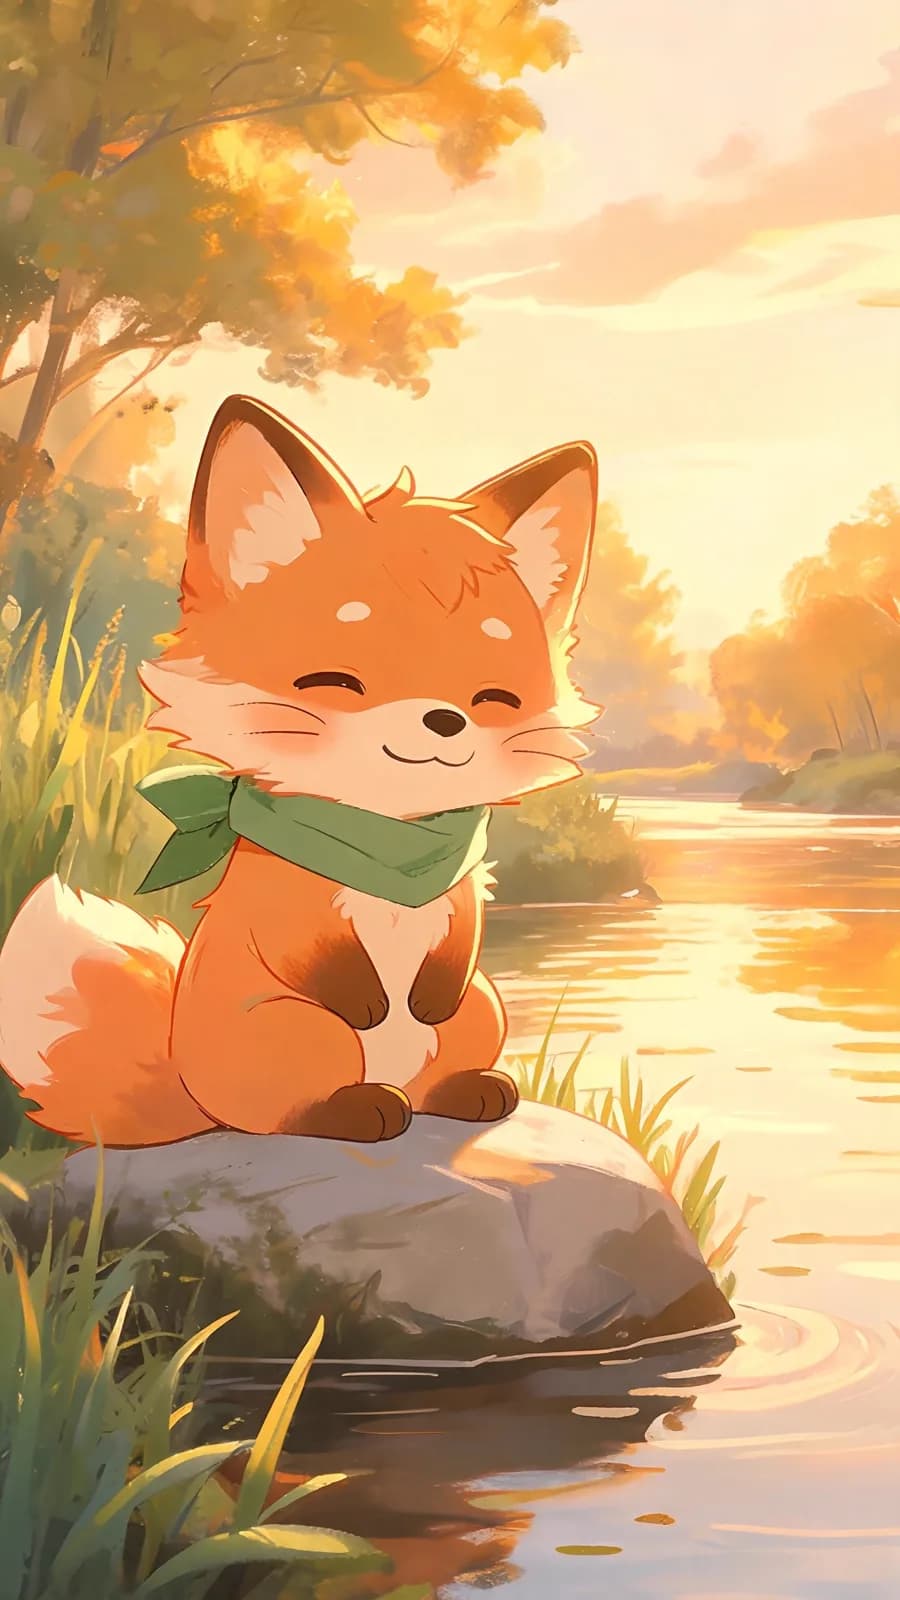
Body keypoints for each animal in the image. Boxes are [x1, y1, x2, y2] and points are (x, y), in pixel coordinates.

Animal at [0, 395, 601, 1148]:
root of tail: (196, 1097)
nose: (445, 720)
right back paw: (363, 1109)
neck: (388, 841)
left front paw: (423, 999)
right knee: (295, 1112)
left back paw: (471, 1090)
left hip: (481, 1009)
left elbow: (452, 960)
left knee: (438, 1077)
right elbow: (315, 958)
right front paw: (372, 1001)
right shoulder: (283, 906)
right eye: (335, 682)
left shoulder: (461, 909)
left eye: (494, 698)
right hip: (297, 1031)